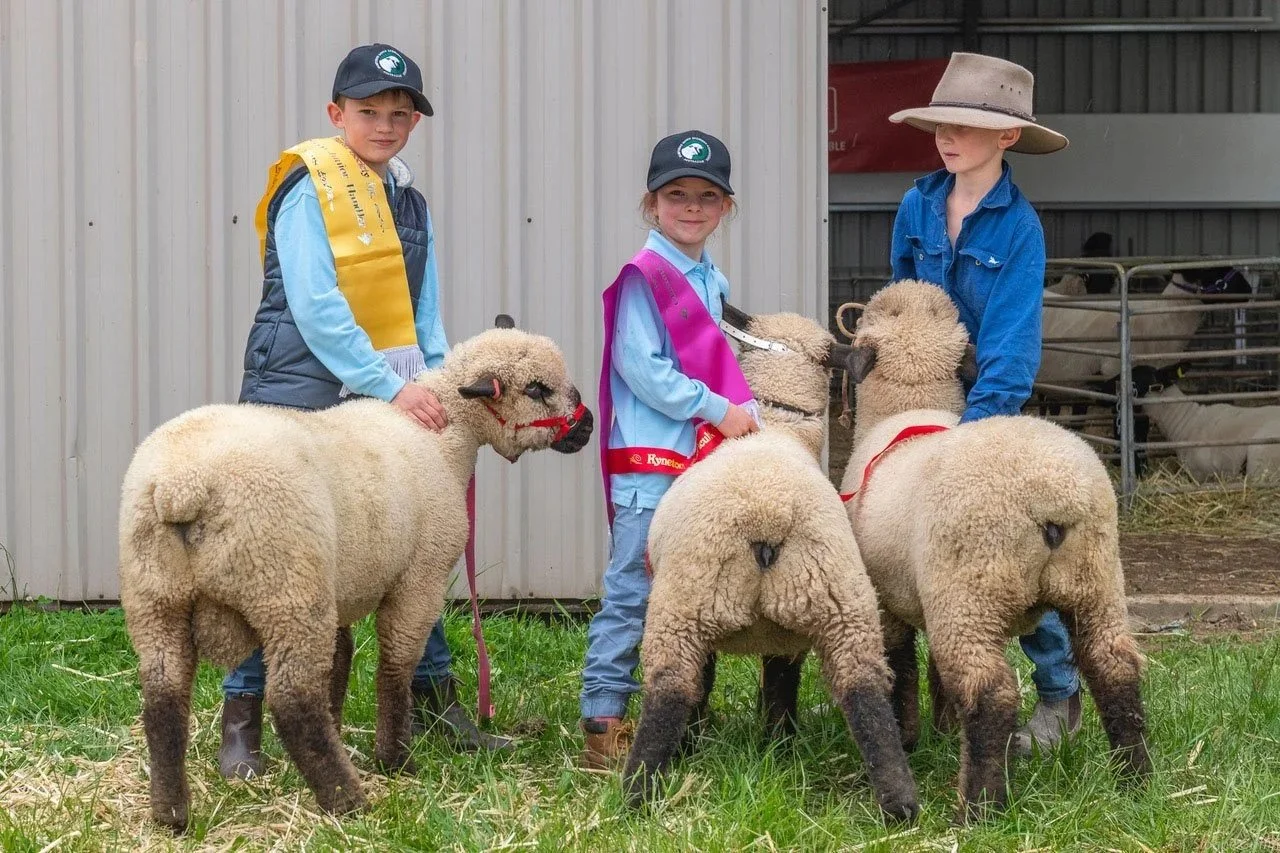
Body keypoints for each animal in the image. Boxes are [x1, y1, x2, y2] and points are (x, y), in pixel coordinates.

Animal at [118, 316, 593, 832]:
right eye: (537, 389)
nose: (588, 425)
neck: (444, 440)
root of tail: (182, 488)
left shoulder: (342, 587)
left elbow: (341, 662)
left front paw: (347, 731)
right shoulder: (419, 578)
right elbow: (395, 668)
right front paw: (394, 758)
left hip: (155, 594)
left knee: (162, 698)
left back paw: (171, 813)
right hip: (286, 587)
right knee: (293, 701)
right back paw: (347, 800)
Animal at [622, 311, 919, 823]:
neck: (778, 430)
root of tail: (769, 512)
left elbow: (707, 685)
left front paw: (700, 744)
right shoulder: (787, 634)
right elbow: (781, 687)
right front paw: (778, 748)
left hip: (683, 603)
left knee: (672, 690)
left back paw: (636, 794)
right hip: (840, 600)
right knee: (865, 693)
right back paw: (900, 804)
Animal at [841, 280, 1151, 822]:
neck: (907, 408)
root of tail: (1052, 501)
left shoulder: (888, 601)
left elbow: (902, 673)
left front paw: (911, 736)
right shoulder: (926, 594)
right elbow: (934, 673)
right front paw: (944, 730)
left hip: (972, 589)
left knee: (990, 692)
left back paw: (980, 806)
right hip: (1095, 581)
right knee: (1114, 668)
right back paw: (1134, 779)